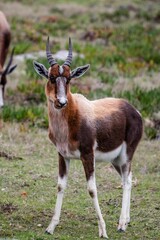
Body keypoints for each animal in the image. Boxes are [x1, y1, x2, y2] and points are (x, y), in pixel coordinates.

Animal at [33, 37, 143, 238]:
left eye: (69, 78)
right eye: (52, 77)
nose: (61, 102)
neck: (74, 114)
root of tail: (133, 110)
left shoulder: (87, 154)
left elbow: (92, 189)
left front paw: (103, 230)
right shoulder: (63, 156)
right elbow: (60, 186)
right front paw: (51, 227)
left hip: (126, 156)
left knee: (127, 181)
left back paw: (121, 224)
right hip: (115, 160)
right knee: (128, 178)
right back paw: (126, 220)